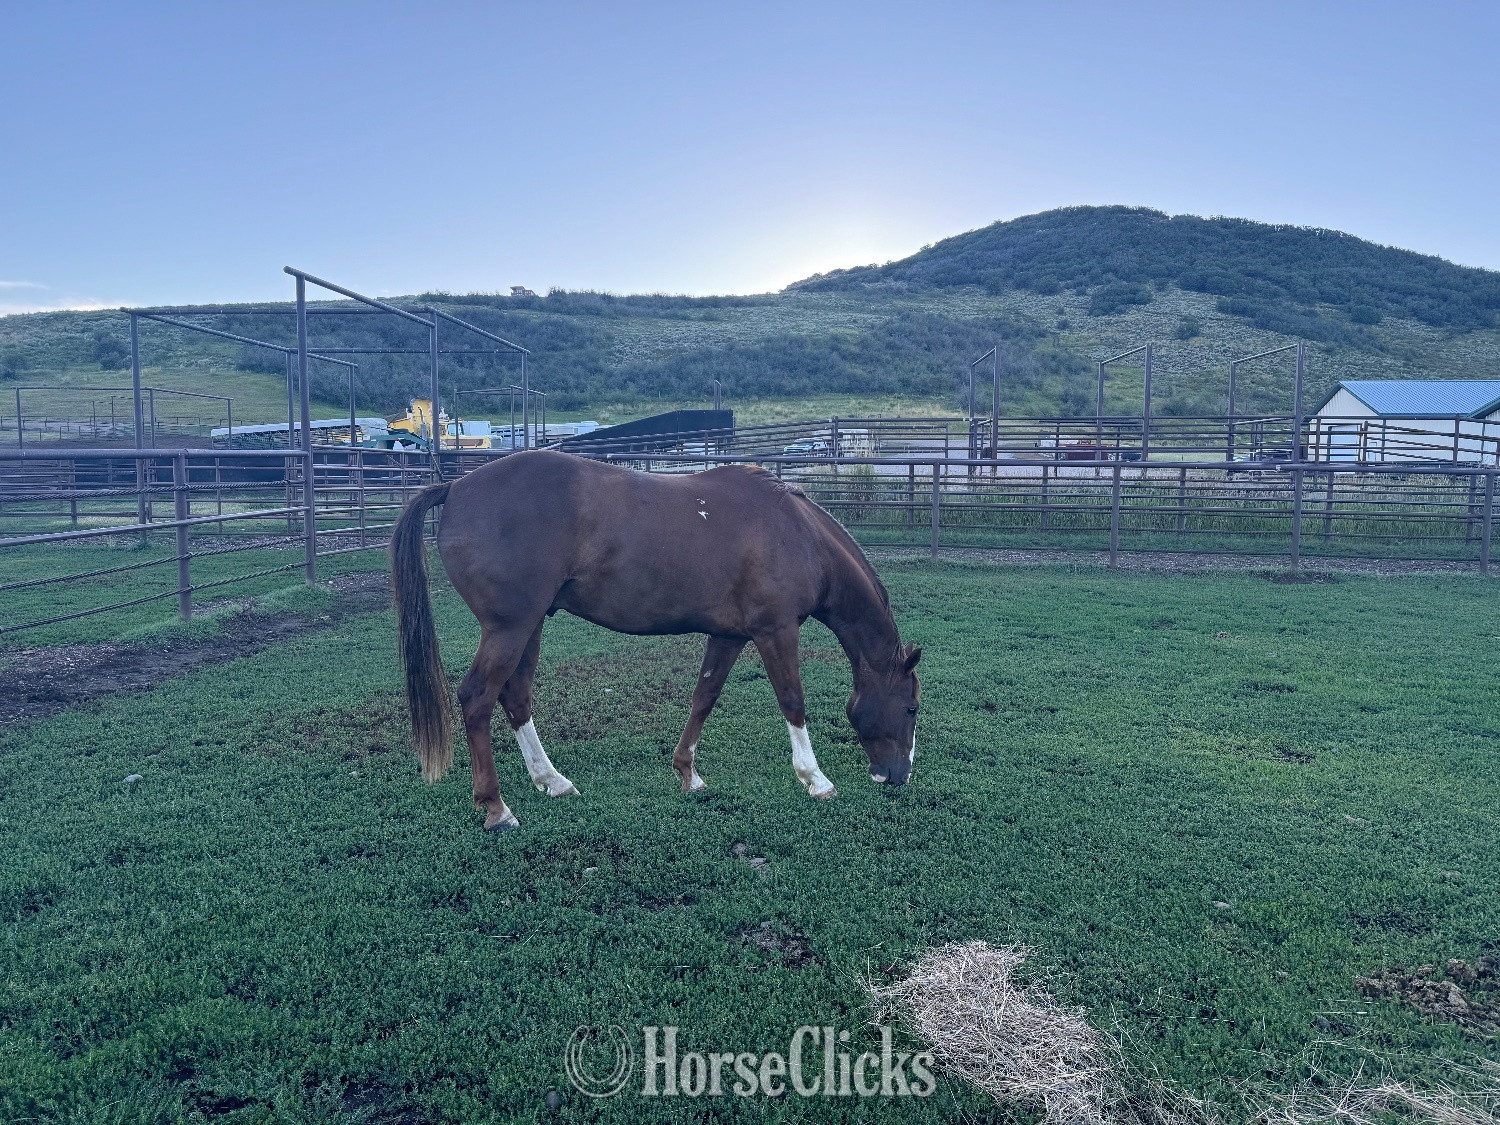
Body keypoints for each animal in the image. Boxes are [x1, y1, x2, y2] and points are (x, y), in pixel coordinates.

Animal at [389, 450, 922, 830]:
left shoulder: (728, 635)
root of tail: (457, 487)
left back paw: (551, 781)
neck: (799, 534)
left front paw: (688, 773)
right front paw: (815, 779)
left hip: (529, 625)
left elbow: (704, 697)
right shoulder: (776, 629)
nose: (899, 777)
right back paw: (497, 809)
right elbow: (793, 702)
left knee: (515, 698)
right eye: (912, 708)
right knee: (477, 699)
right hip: (510, 627)